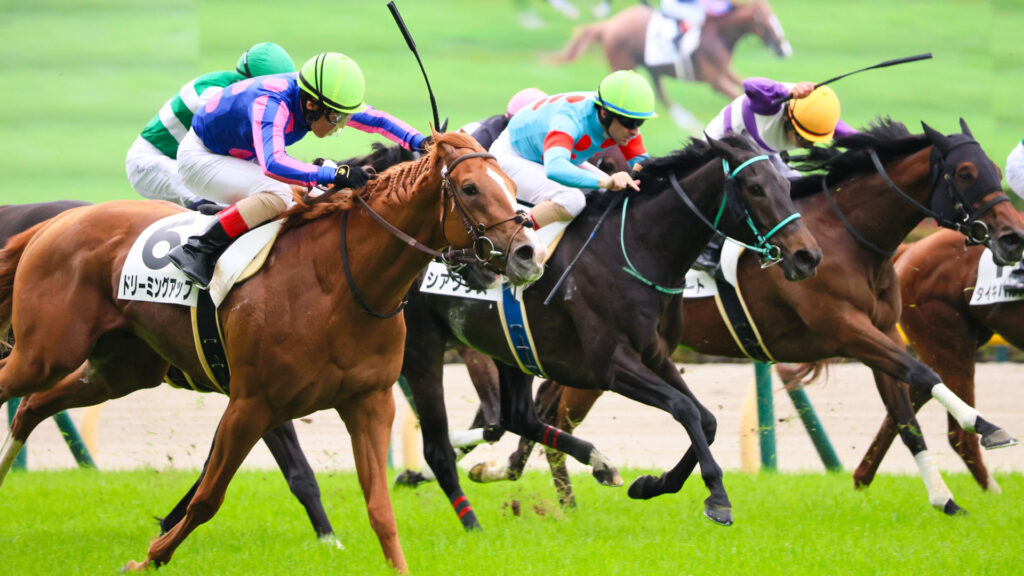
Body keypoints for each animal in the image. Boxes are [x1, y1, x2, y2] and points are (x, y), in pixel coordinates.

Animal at [0, 130, 543, 573]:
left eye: (509, 184)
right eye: (470, 188)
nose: (526, 254)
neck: (338, 283)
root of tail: (60, 221)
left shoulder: (369, 402)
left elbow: (380, 509)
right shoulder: (253, 403)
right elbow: (209, 496)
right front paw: (150, 556)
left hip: (118, 369)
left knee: (33, 406)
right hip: (44, 352)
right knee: (20, 392)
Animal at [400, 133, 823, 530]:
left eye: (786, 187)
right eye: (754, 187)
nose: (808, 256)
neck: (635, 249)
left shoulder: (656, 356)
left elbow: (706, 420)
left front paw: (652, 484)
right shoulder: (612, 365)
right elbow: (684, 409)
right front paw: (716, 496)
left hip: (511, 347)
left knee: (518, 417)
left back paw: (596, 461)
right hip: (423, 348)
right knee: (442, 445)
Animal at [549, 0, 792, 130]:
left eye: (776, 19)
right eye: (766, 22)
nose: (785, 50)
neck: (719, 34)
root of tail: (607, 26)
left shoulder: (724, 70)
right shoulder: (714, 79)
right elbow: (734, 94)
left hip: (650, 69)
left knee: (661, 96)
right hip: (624, 66)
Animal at [853, 228, 1024, 494]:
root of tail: (913, 248)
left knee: (910, 398)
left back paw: (861, 478)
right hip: (951, 346)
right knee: (960, 436)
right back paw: (993, 494)